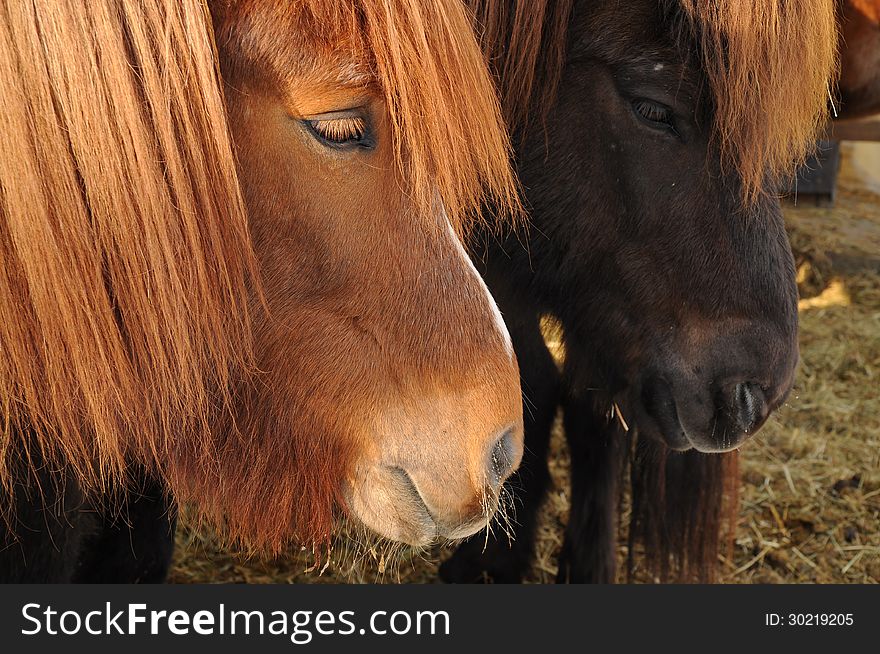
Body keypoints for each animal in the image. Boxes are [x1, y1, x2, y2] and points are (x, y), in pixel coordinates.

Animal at [444, 0, 836, 584]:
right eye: (652, 108)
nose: (753, 397)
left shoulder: (608, 322)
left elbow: (594, 414)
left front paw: (588, 562)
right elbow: (530, 385)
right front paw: (493, 559)